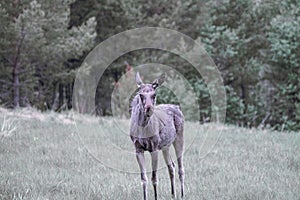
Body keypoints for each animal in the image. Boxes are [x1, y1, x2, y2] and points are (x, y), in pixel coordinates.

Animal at [129, 72, 184, 200]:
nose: (148, 108)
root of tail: (177, 107)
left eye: (154, 95)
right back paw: (173, 194)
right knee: (171, 166)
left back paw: (182, 194)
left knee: (181, 168)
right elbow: (143, 179)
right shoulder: (138, 149)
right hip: (165, 146)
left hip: (179, 138)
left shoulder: (154, 148)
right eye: (141, 94)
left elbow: (154, 178)